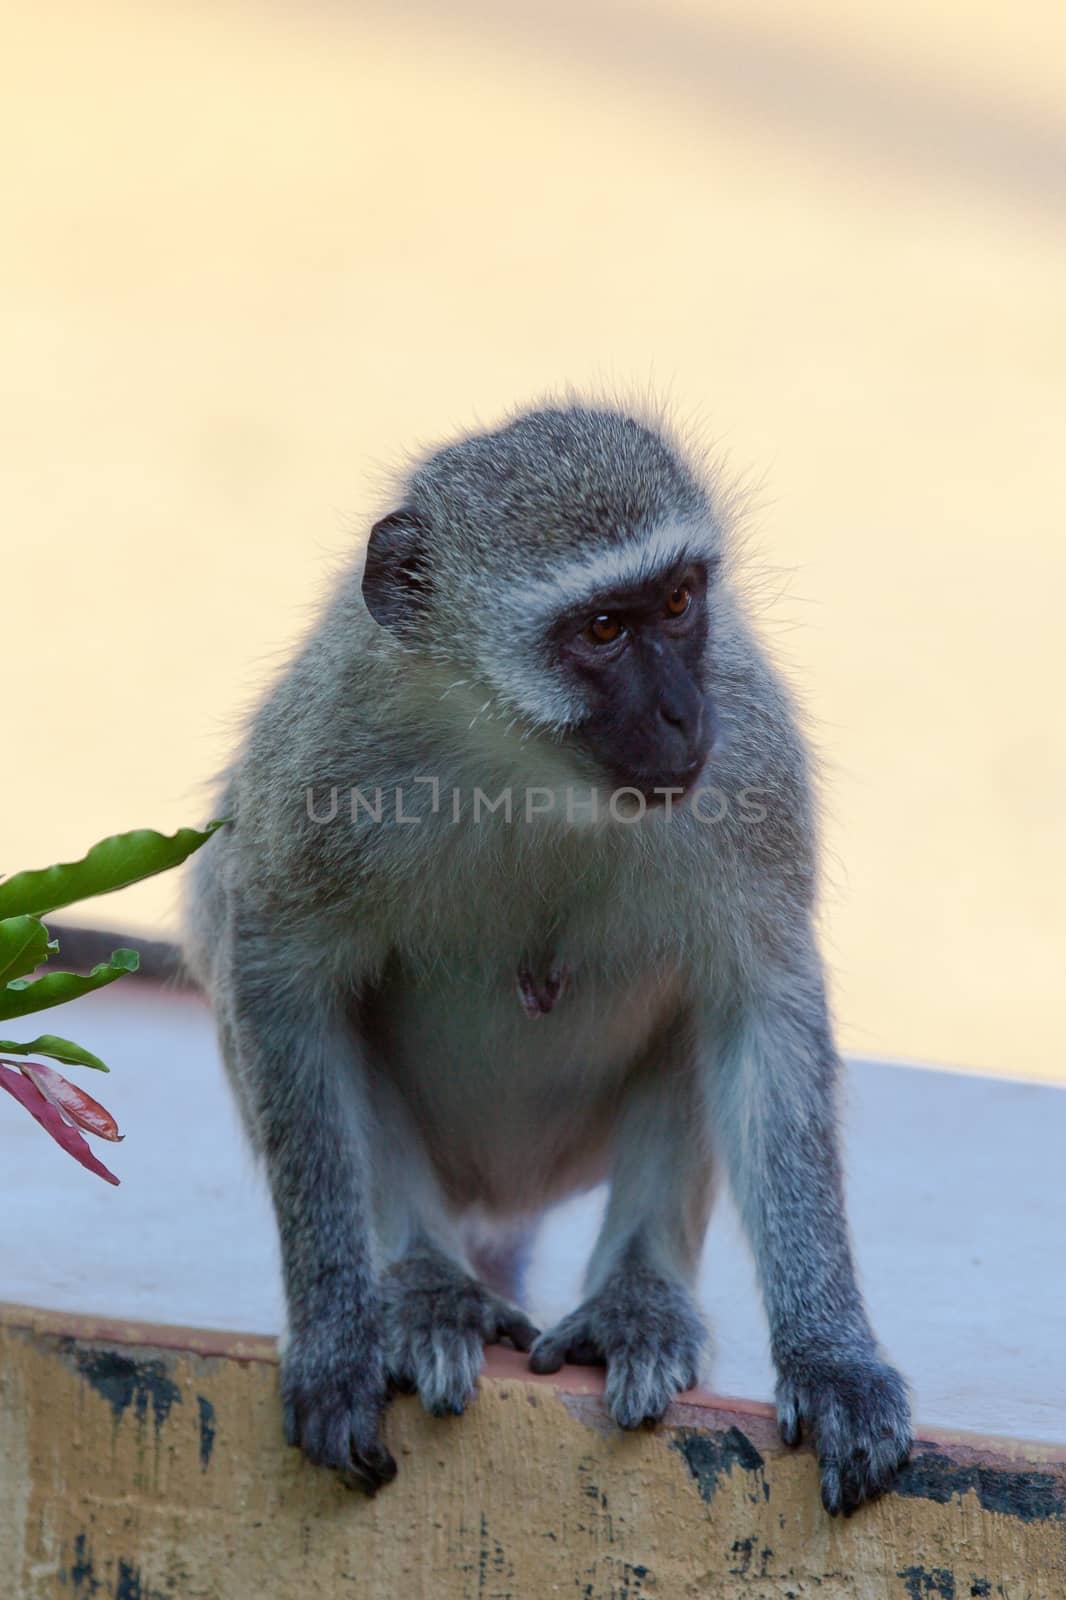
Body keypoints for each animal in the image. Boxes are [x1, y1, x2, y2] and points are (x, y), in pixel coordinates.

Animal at [180, 400, 902, 1510]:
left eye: (679, 600)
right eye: (602, 629)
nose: (682, 713)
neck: (532, 763)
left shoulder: (748, 758)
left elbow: (757, 1007)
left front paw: (832, 1357)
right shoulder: (325, 768)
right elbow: (277, 970)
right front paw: (336, 1339)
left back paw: (637, 1298)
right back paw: (425, 1284)